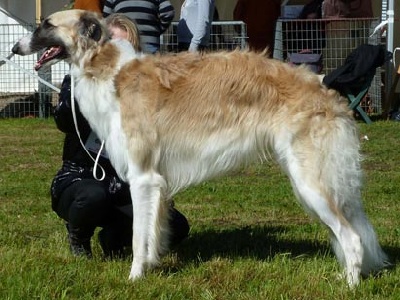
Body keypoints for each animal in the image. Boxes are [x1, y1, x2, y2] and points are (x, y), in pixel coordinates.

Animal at [11, 9, 388, 286]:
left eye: (47, 24)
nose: (14, 48)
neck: (111, 71)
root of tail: (327, 88)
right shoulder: (156, 183)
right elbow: (152, 233)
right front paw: (151, 268)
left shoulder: (143, 177)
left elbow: (137, 238)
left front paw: (133, 279)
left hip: (311, 182)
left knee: (352, 238)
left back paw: (348, 285)